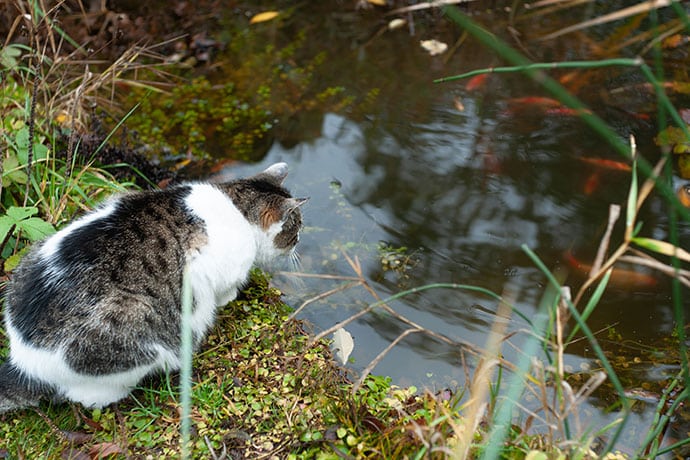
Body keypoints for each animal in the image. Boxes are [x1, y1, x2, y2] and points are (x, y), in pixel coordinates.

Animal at [0, 162, 304, 414]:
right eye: (297, 227)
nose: (299, 242)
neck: (236, 205)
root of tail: (24, 363)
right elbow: (225, 291)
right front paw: (229, 298)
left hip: (28, 258)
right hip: (134, 332)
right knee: (89, 397)